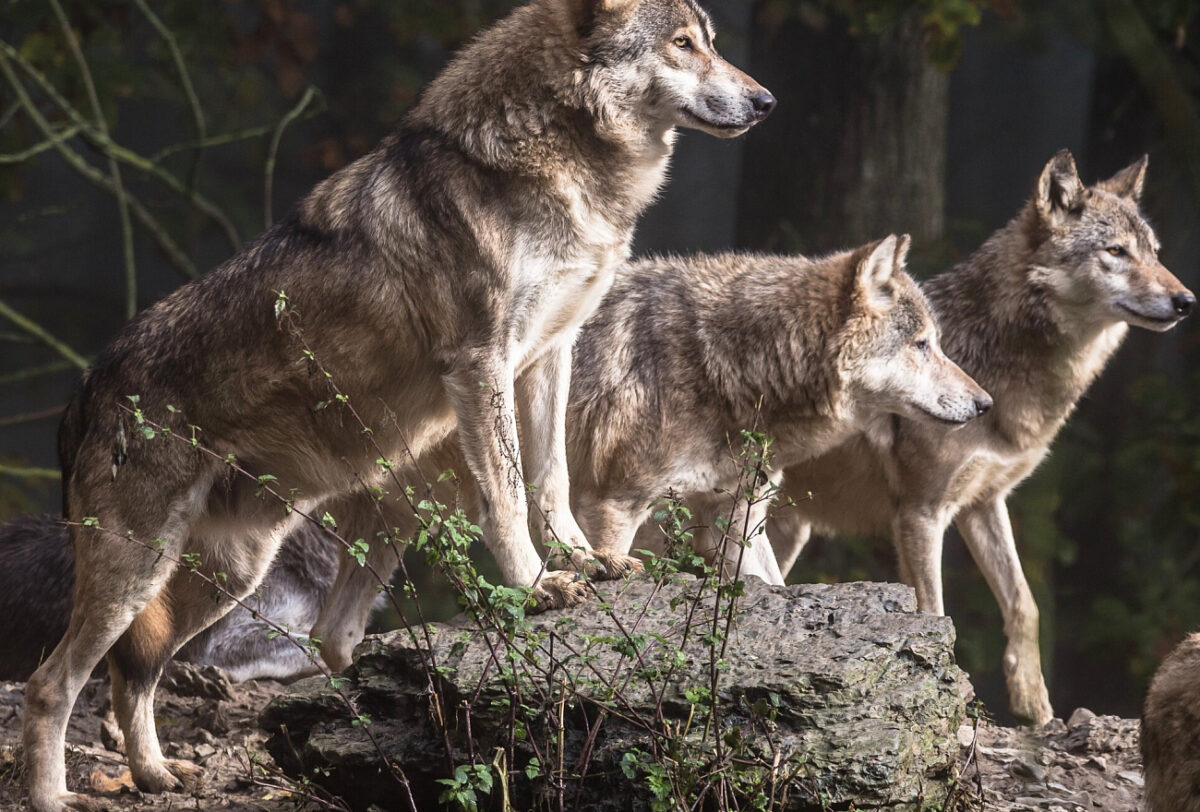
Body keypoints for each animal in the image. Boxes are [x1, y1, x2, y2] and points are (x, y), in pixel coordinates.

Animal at [309, 232, 993, 666]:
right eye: (923, 345)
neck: (729, 364)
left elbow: (772, 589)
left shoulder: (736, 521)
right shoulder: (613, 507)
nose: (986, 404)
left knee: (331, 634)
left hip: (391, 534)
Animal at [748, 150, 1190, 724]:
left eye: (1155, 253)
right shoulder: (920, 513)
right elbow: (934, 613)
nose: (1186, 300)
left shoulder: (984, 502)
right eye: (1116, 251)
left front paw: (1034, 705)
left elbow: (1025, 602)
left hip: (787, 530)